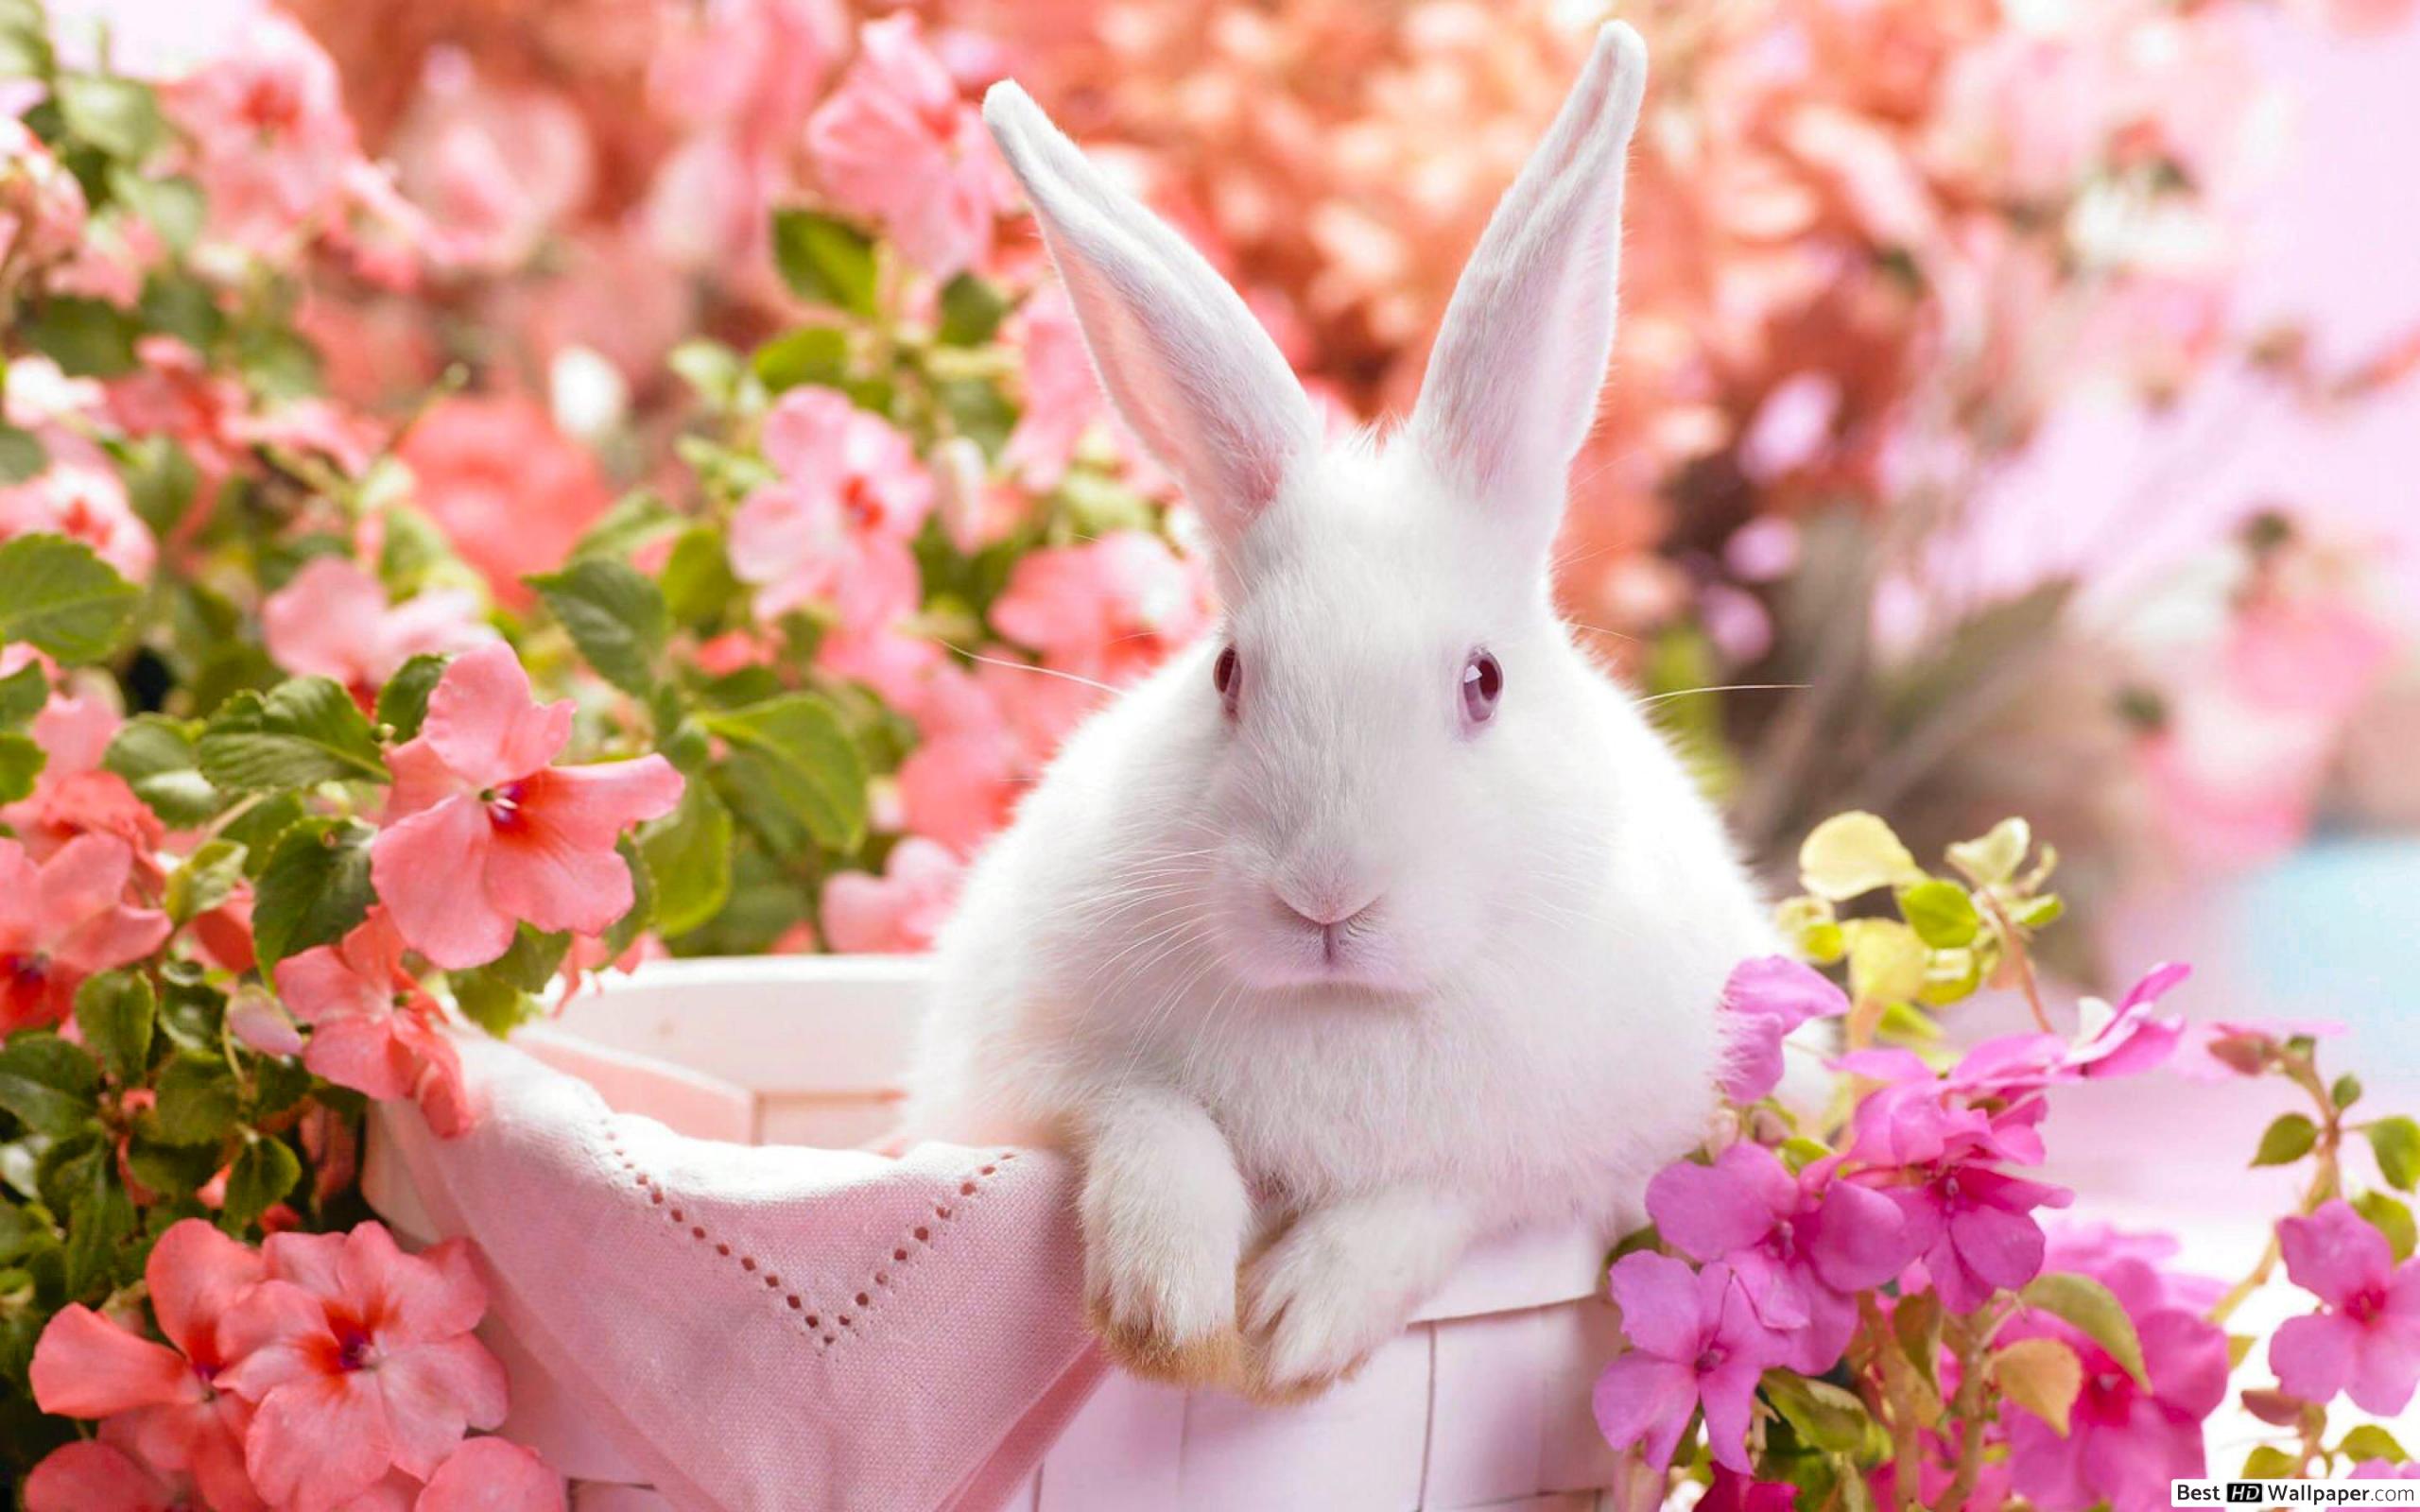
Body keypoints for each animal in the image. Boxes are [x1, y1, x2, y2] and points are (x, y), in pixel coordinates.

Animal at [902, 22, 1782, 1401]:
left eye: (1483, 681)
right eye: (1227, 672)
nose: (1325, 897)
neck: (1340, 1012)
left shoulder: (1580, 1153)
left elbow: (1436, 1194)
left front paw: (1294, 1324)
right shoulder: (1028, 1064)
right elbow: (1147, 1117)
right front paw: (1168, 1310)